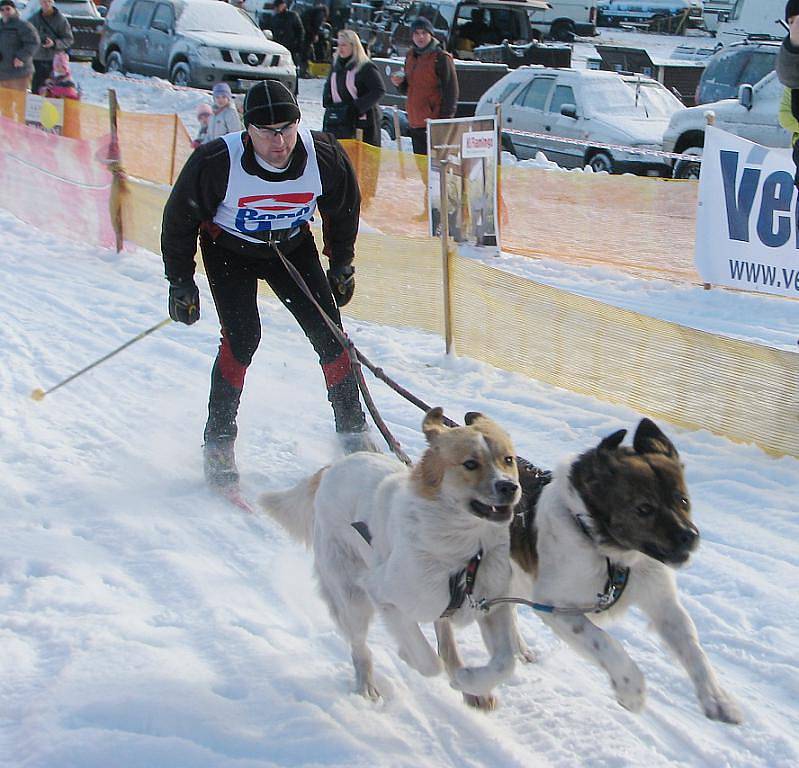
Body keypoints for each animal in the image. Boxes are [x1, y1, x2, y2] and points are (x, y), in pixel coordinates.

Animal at [258, 408, 524, 708]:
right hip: (352, 598)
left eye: (508, 459)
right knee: (360, 647)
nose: (509, 487)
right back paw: (367, 685)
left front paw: (469, 681)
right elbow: (428, 661)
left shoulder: (492, 606)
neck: (468, 552)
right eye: (470, 464)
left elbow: (505, 662)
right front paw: (413, 658)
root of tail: (331, 468)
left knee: (445, 642)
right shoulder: (384, 595)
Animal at [512, 416, 744, 724]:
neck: (614, 556)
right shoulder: (554, 607)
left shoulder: (662, 602)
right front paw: (631, 690)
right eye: (644, 508)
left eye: (682, 500)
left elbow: (694, 651)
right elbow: (606, 643)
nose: (690, 536)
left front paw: (717, 699)